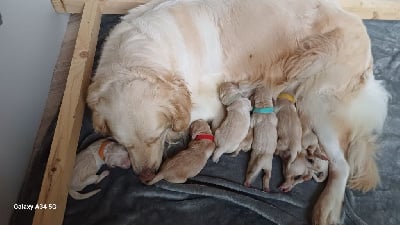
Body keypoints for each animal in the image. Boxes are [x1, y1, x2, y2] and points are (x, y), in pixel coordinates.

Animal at [86, 0, 388, 224]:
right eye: (123, 143)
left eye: (155, 137)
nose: (145, 177)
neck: (139, 56)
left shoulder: (206, 100)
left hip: (317, 96)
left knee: (343, 163)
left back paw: (326, 209)